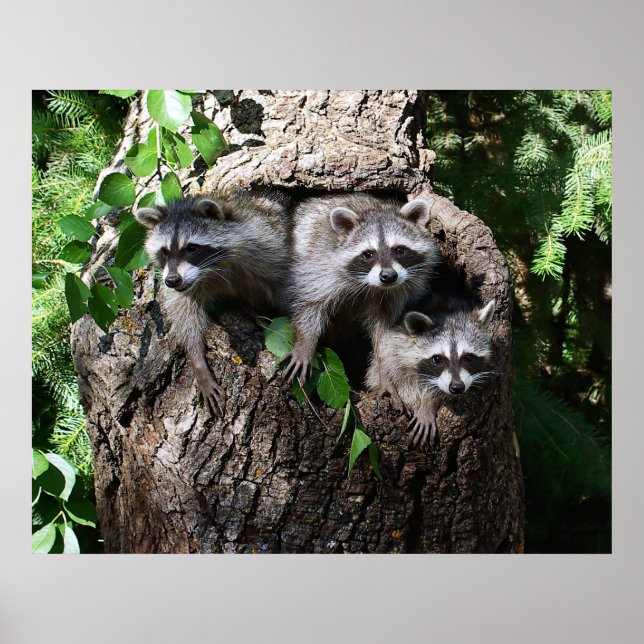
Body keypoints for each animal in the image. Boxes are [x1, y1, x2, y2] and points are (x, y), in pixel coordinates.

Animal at [135, 190, 290, 416]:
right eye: (164, 251)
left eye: (192, 248)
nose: (172, 280)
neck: (212, 270)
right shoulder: (186, 287)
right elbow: (185, 317)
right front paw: (198, 363)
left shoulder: (268, 248)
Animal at [281, 193, 440, 385]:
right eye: (368, 254)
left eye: (400, 250)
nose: (388, 276)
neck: (372, 286)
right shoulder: (319, 264)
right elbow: (310, 303)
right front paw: (306, 343)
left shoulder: (396, 293)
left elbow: (384, 330)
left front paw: (383, 367)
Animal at [366, 297, 496, 447]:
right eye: (438, 359)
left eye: (468, 358)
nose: (457, 387)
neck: (446, 309)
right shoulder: (395, 345)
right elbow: (396, 375)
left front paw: (429, 402)